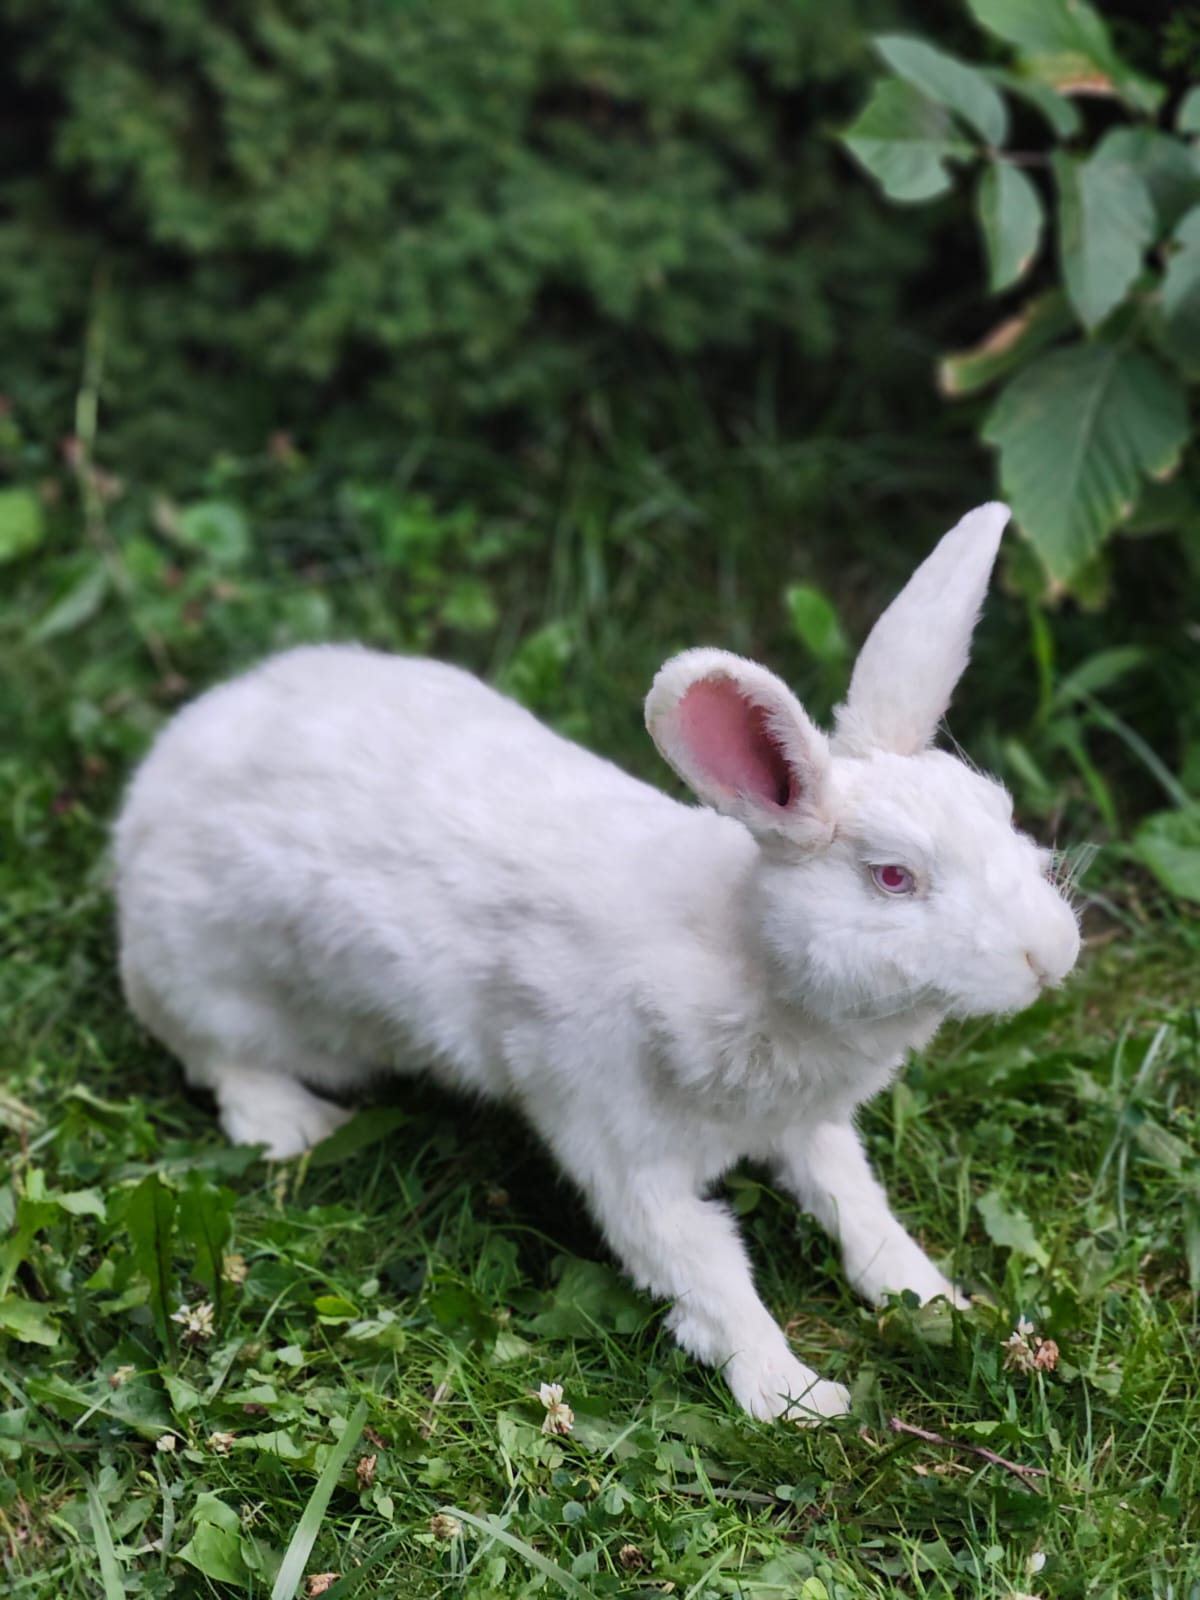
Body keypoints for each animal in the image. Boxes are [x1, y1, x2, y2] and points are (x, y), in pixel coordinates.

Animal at [114, 501, 1080, 1424]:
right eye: (893, 877)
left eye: (1000, 812)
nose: (1052, 953)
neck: (748, 959)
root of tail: (158, 777)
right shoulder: (623, 1154)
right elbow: (710, 1272)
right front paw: (795, 1397)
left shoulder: (810, 1129)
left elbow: (858, 1205)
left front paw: (935, 1299)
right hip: (215, 989)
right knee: (216, 1061)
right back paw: (295, 1123)